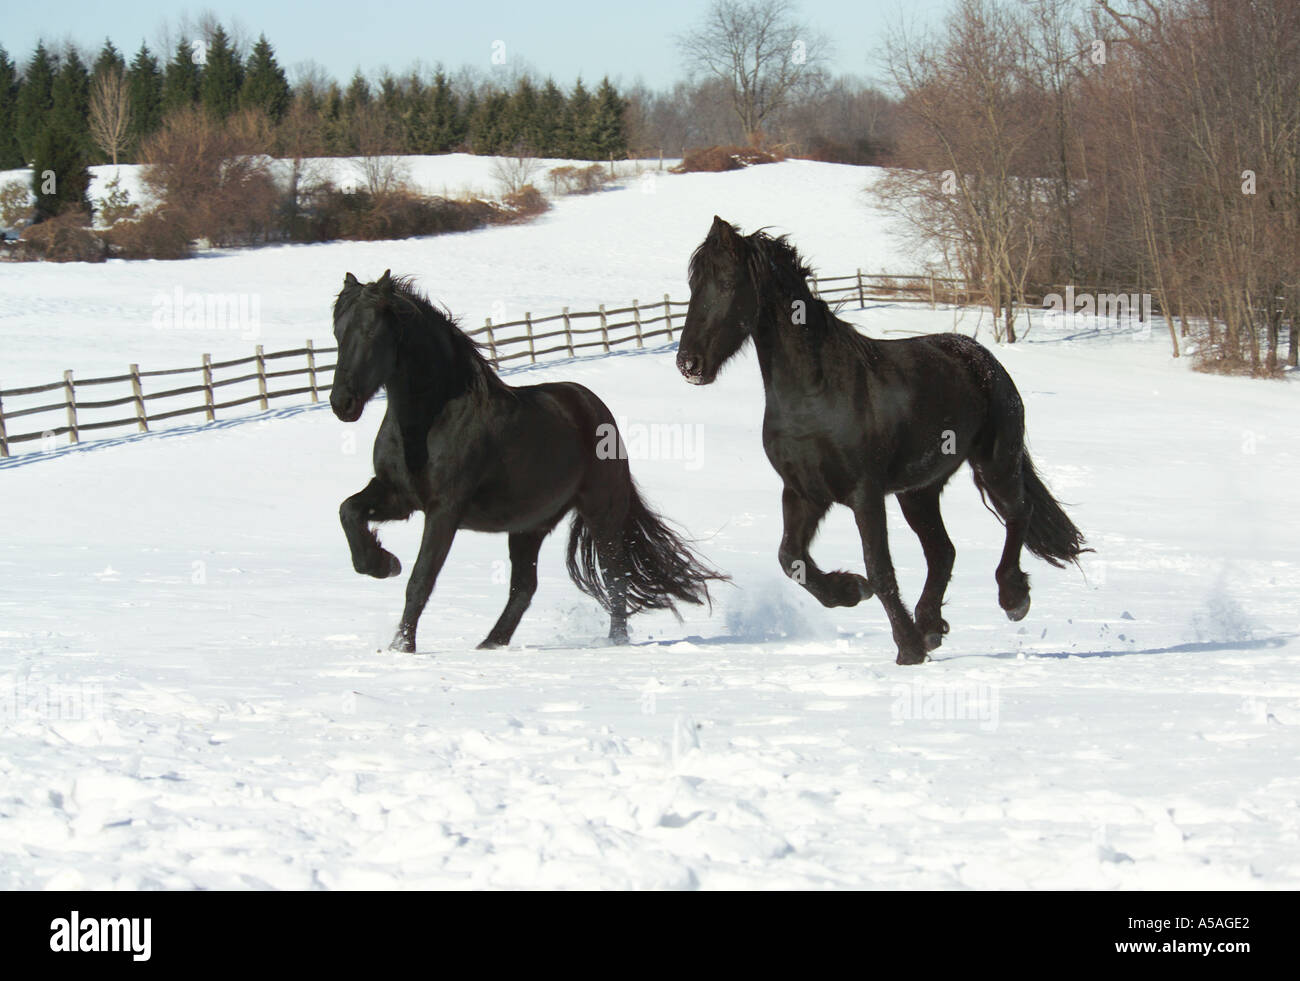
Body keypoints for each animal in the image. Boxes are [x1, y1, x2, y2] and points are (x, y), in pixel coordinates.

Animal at [330, 270, 725, 653]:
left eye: (372, 332)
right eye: (337, 332)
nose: (341, 403)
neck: (430, 419)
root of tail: (593, 406)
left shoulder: (444, 510)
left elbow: (421, 578)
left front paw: (401, 647)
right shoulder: (399, 496)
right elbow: (348, 510)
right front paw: (382, 563)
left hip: (601, 513)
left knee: (616, 577)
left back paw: (614, 642)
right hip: (529, 526)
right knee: (525, 587)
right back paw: (491, 644)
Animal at [675, 217, 1089, 665]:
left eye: (727, 282)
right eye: (693, 283)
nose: (689, 363)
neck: (816, 393)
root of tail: (981, 357)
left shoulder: (865, 494)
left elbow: (879, 567)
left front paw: (906, 647)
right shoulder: (803, 493)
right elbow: (791, 559)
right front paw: (850, 591)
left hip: (995, 464)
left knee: (1017, 515)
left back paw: (1012, 598)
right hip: (919, 492)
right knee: (943, 551)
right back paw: (930, 626)